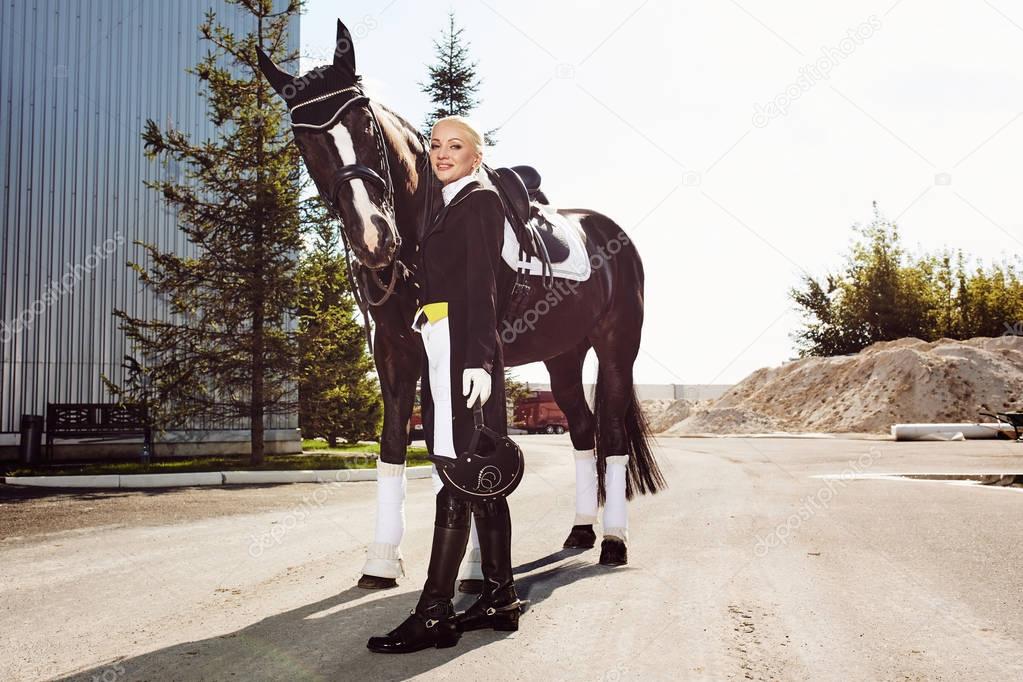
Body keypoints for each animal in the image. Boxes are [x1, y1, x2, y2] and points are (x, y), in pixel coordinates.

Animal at [259, 20, 666, 588]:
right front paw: (381, 561)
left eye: (363, 121)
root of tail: (612, 233)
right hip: (563, 358)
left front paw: (473, 569)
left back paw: (612, 541)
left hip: (615, 351)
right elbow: (399, 444)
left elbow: (475, 442)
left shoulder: (477, 351)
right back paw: (581, 529)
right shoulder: (397, 352)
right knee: (583, 431)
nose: (372, 237)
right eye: (305, 140)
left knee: (610, 437)